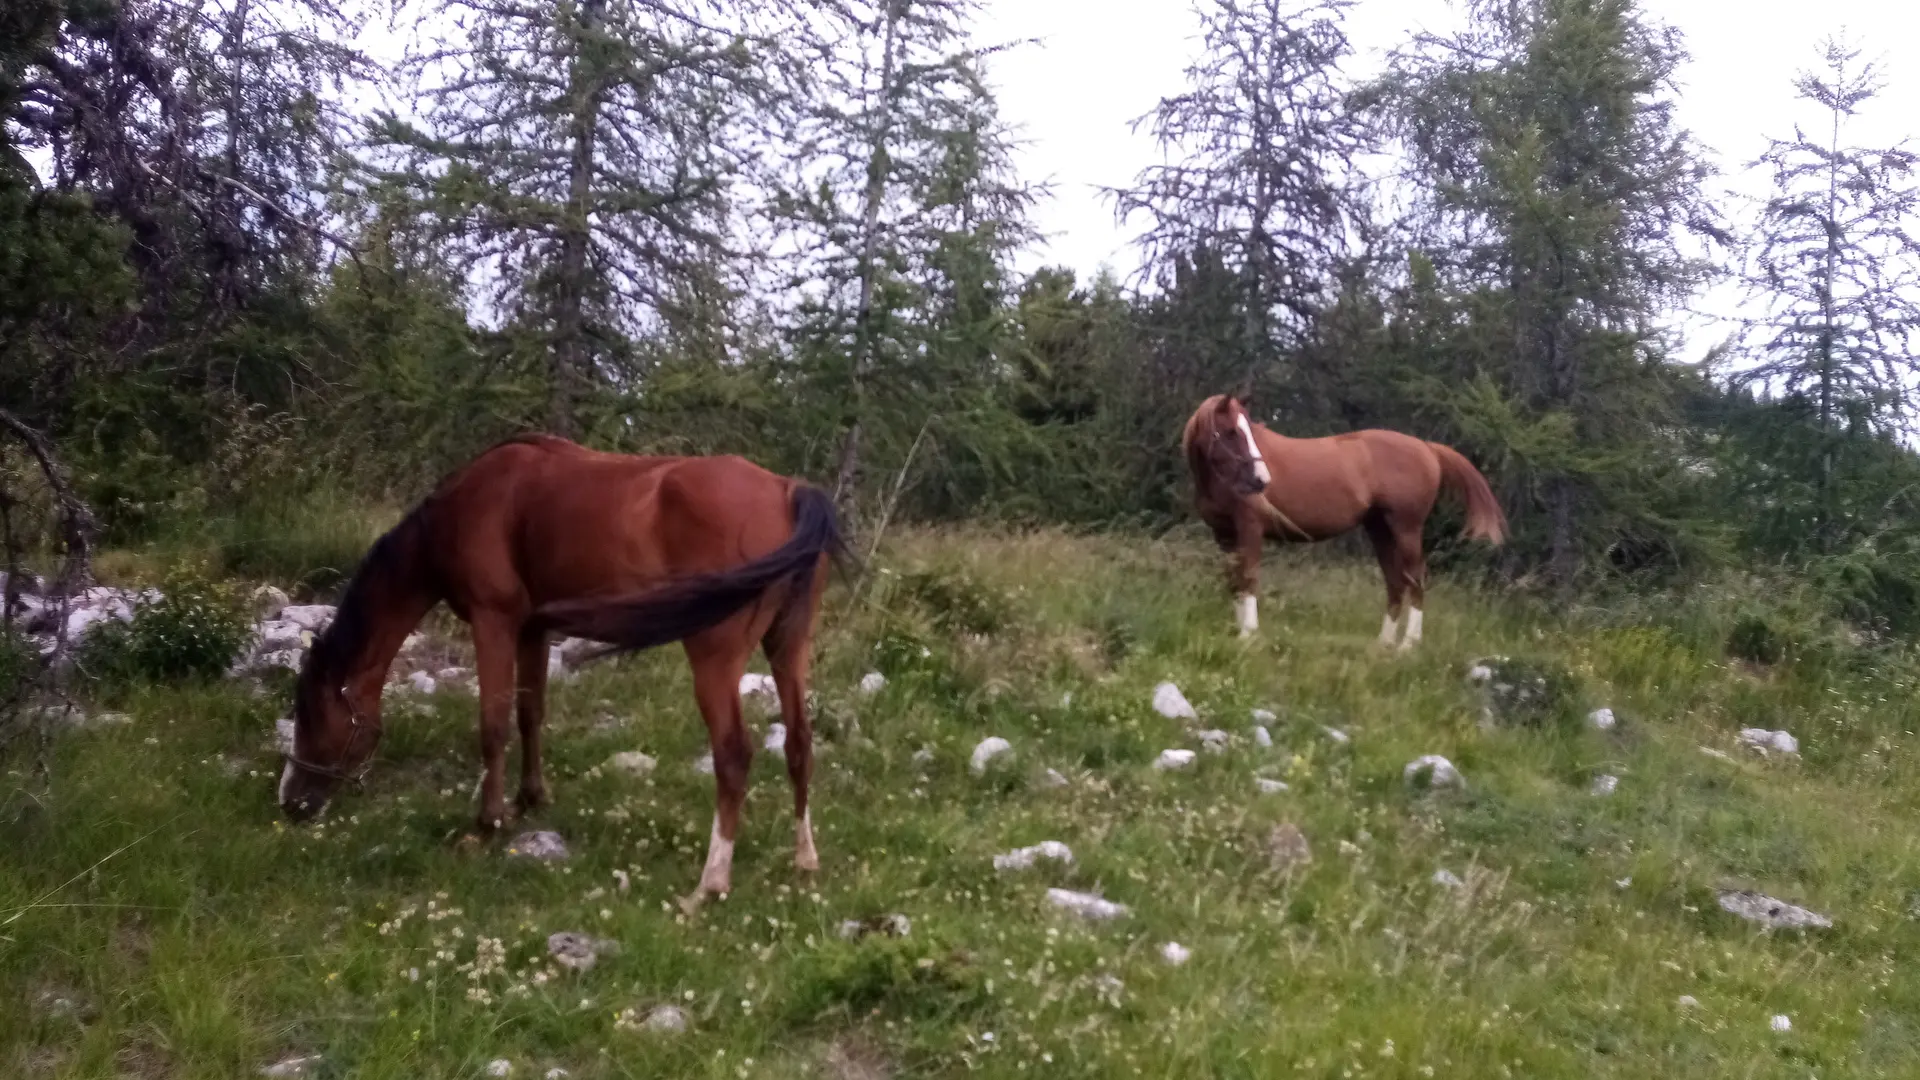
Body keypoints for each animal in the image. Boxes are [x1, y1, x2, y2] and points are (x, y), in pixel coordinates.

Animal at [278, 432, 840, 903]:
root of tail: (787, 491)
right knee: (798, 744)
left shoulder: (494, 621)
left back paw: (709, 884)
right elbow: (530, 715)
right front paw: (530, 797)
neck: (465, 508)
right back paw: (805, 860)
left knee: (734, 756)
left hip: (715, 659)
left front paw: (487, 821)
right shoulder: (533, 630)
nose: (291, 803)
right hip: (787, 648)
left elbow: (493, 725)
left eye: (310, 716)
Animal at [1175, 395, 1505, 645]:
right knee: (1395, 582)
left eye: (1248, 431)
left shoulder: (1250, 531)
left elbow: (1248, 578)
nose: (1261, 480)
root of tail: (1427, 447)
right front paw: (1240, 631)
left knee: (1415, 579)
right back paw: (1384, 644)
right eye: (1231, 431)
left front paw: (1250, 634)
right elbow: (1234, 581)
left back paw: (1408, 645)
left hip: (1406, 529)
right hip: (1380, 530)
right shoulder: (1225, 535)